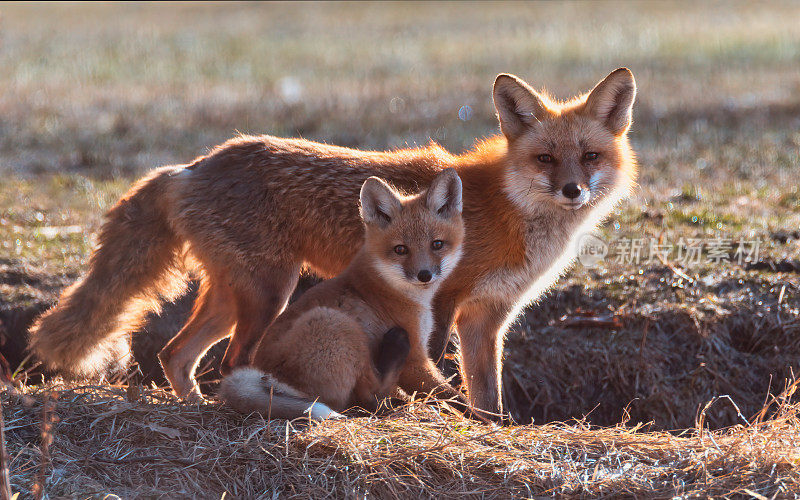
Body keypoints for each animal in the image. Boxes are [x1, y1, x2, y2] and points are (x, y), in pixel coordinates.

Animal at [222, 170, 466, 420]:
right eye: (400, 249)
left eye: (437, 244)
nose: (424, 275)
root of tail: (267, 376)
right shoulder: (415, 360)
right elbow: (455, 397)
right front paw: (477, 416)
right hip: (334, 323)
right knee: (370, 399)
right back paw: (395, 349)